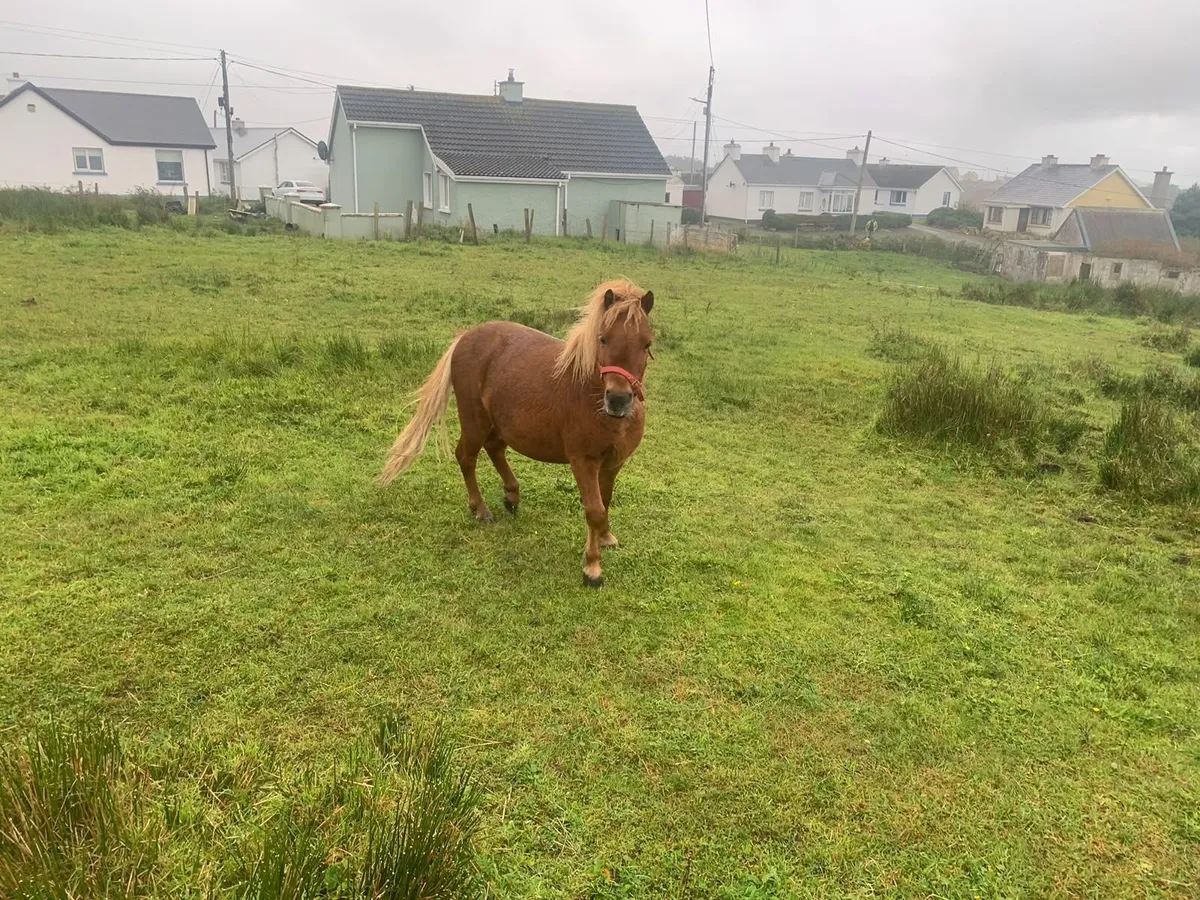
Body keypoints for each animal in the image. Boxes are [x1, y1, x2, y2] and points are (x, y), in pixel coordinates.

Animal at [380, 280, 656, 588]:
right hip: (475, 420)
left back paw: (512, 496)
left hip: (498, 422)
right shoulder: (583, 462)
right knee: (466, 457)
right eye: (603, 339)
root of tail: (465, 337)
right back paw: (480, 509)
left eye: (646, 343)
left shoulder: (613, 463)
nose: (618, 400)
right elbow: (594, 511)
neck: (591, 393)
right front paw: (592, 568)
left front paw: (606, 538)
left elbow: (605, 504)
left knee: (495, 448)